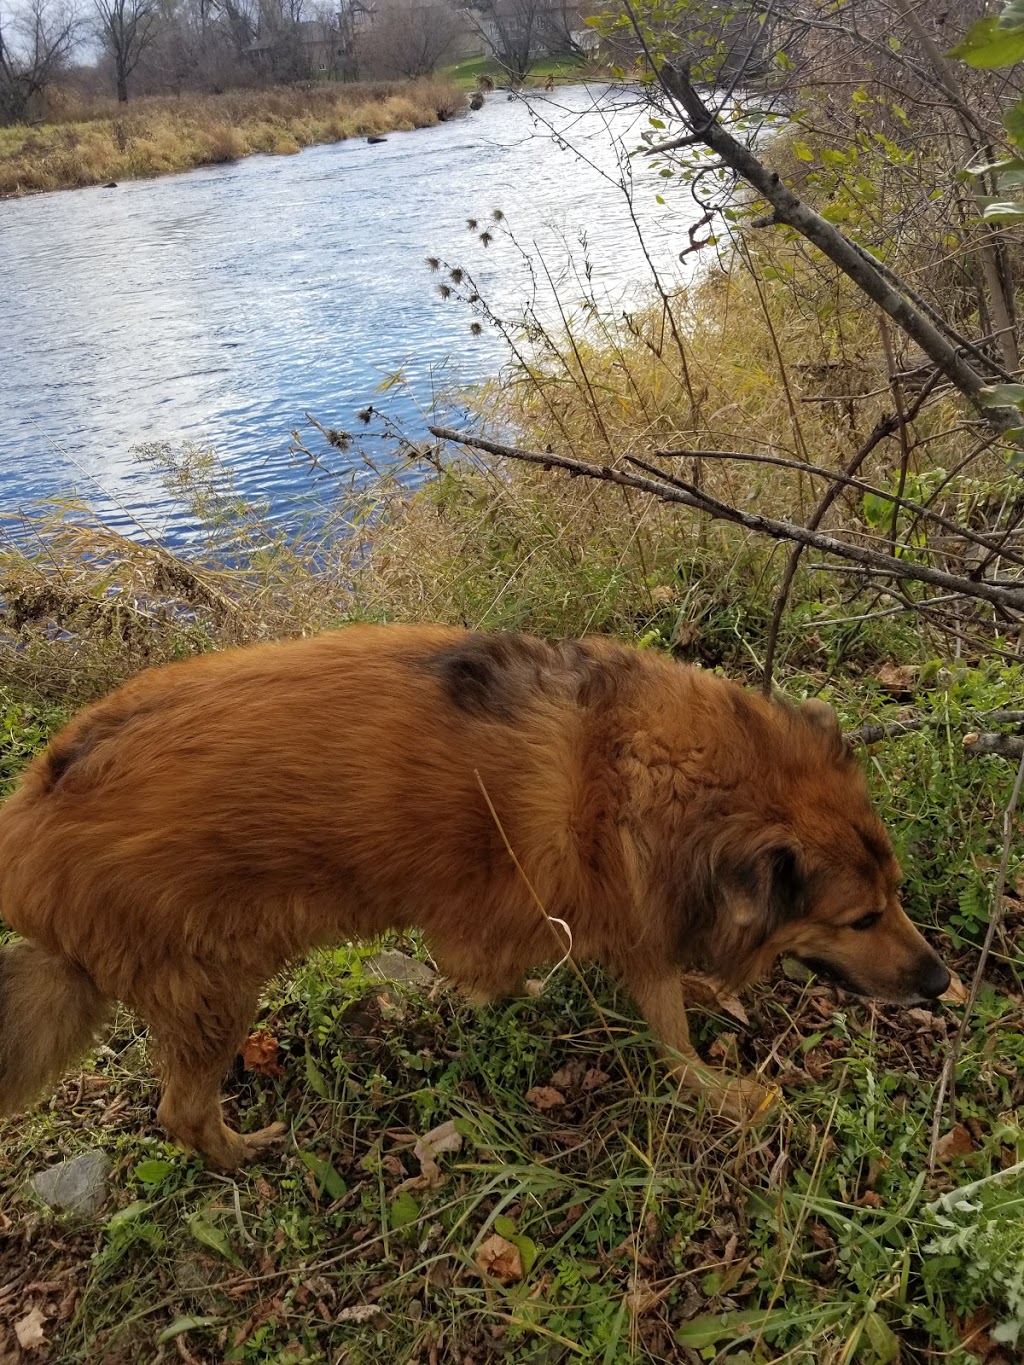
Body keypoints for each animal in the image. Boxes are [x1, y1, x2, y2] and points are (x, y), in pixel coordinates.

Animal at [0, 625, 955, 1168]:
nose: (944, 982)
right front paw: (722, 1089)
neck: (639, 764)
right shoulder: (608, 907)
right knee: (181, 1110)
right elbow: (663, 1024)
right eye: (861, 918)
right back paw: (242, 1153)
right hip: (214, 988)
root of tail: (30, 825)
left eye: (897, 894)